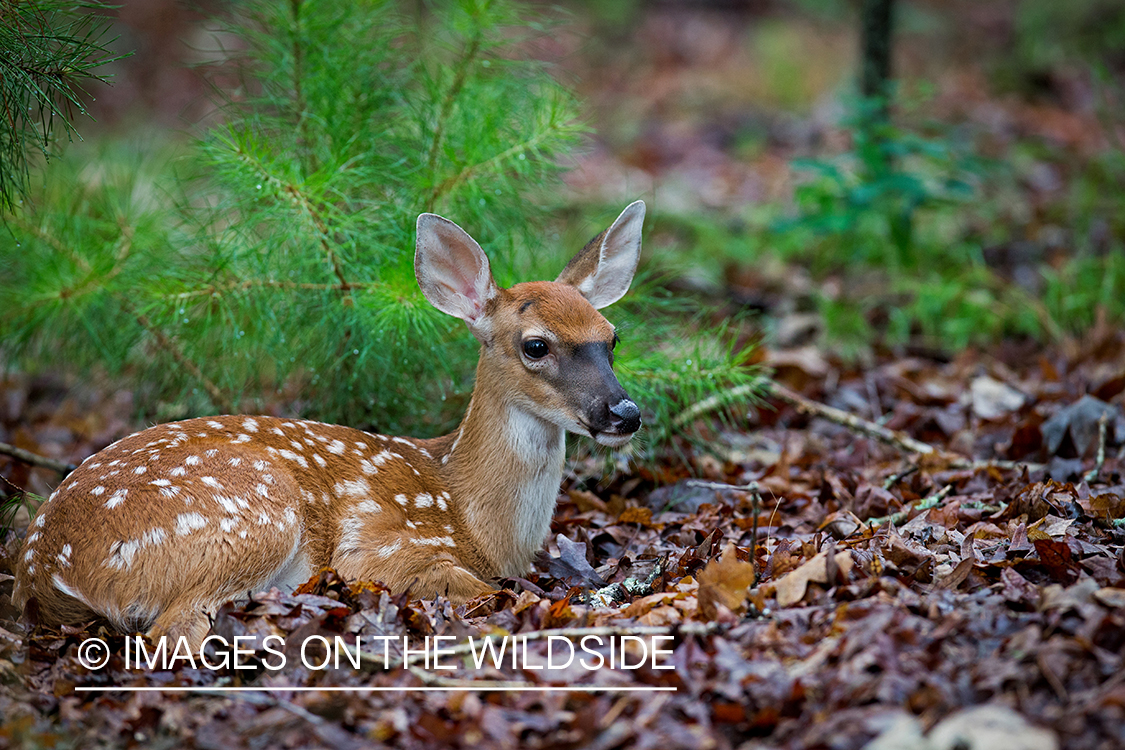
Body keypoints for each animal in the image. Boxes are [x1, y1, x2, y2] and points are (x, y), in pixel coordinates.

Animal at [13, 202, 645, 651]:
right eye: (536, 345)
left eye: (612, 337)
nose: (624, 413)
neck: (470, 514)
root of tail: (44, 568)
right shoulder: (381, 551)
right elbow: (480, 592)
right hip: (249, 512)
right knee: (172, 632)